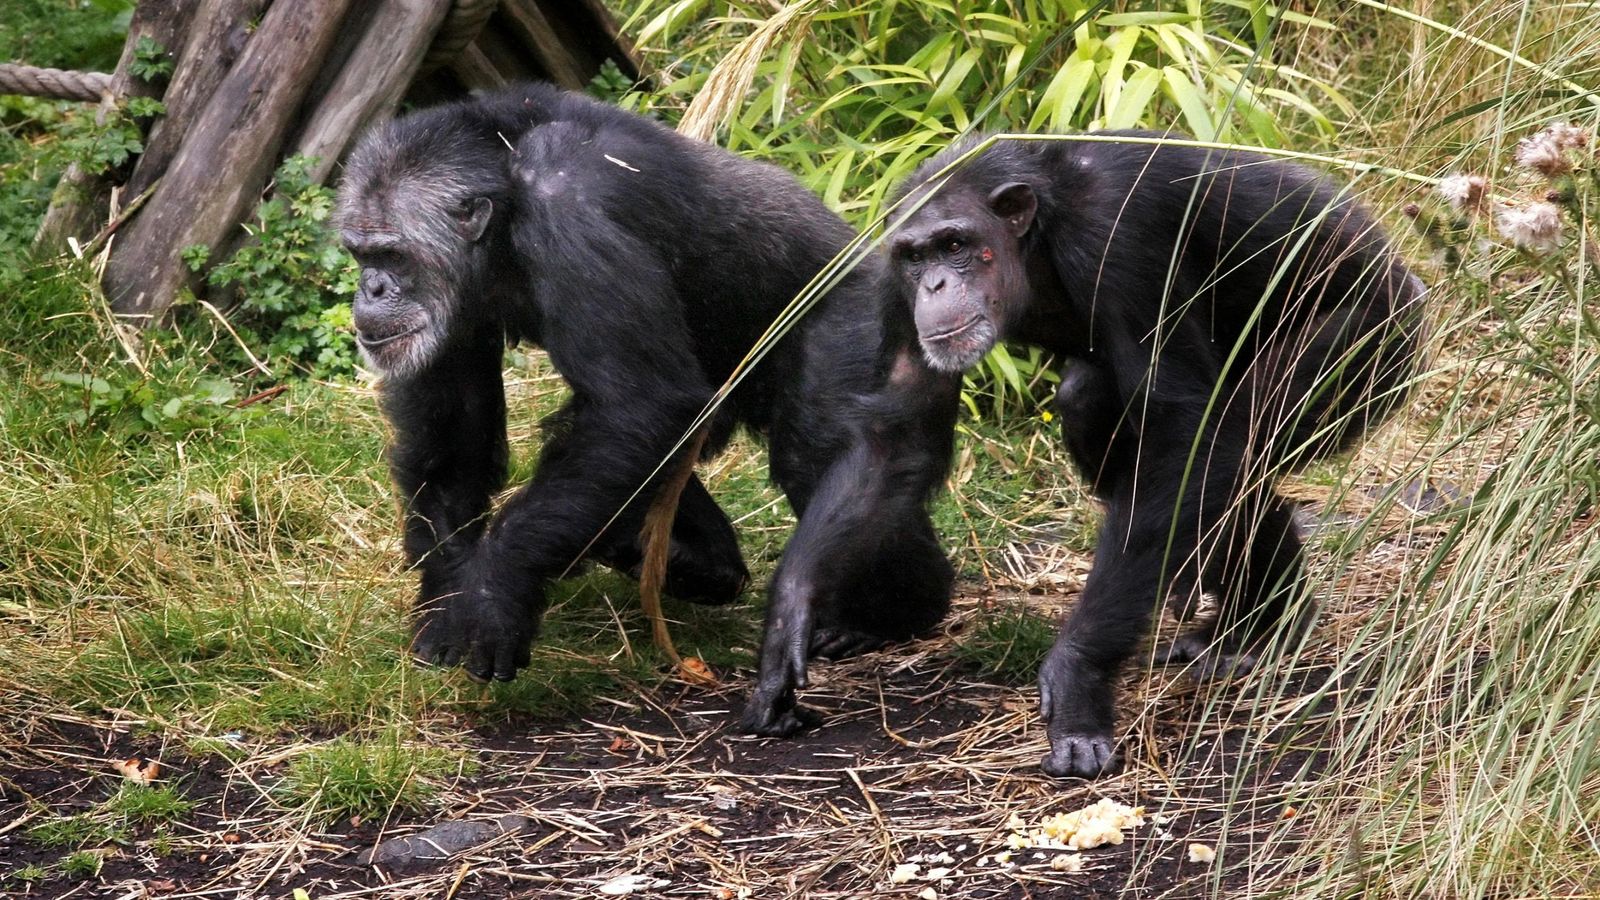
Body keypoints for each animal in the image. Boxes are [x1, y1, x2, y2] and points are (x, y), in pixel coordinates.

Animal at [334, 84, 960, 698]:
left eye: (391, 255)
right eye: (359, 254)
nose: (371, 288)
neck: (507, 192)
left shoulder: (572, 210)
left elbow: (638, 405)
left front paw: (494, 594)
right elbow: (457, 434)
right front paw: (444, 601)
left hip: (862, 320)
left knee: (818, 454)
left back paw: (897, 612)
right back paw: (695, 561)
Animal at [889, 134, 1427, 778]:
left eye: (955, 244)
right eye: (914, 257)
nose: (934, 286)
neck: (1040, 233)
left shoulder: (1117, 237)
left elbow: (1181, 427)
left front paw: (1079, 678)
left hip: (1370, 344)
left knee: (1238, 435)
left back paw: (1261, 629)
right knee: (1108, 410)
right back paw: (1252, 623)